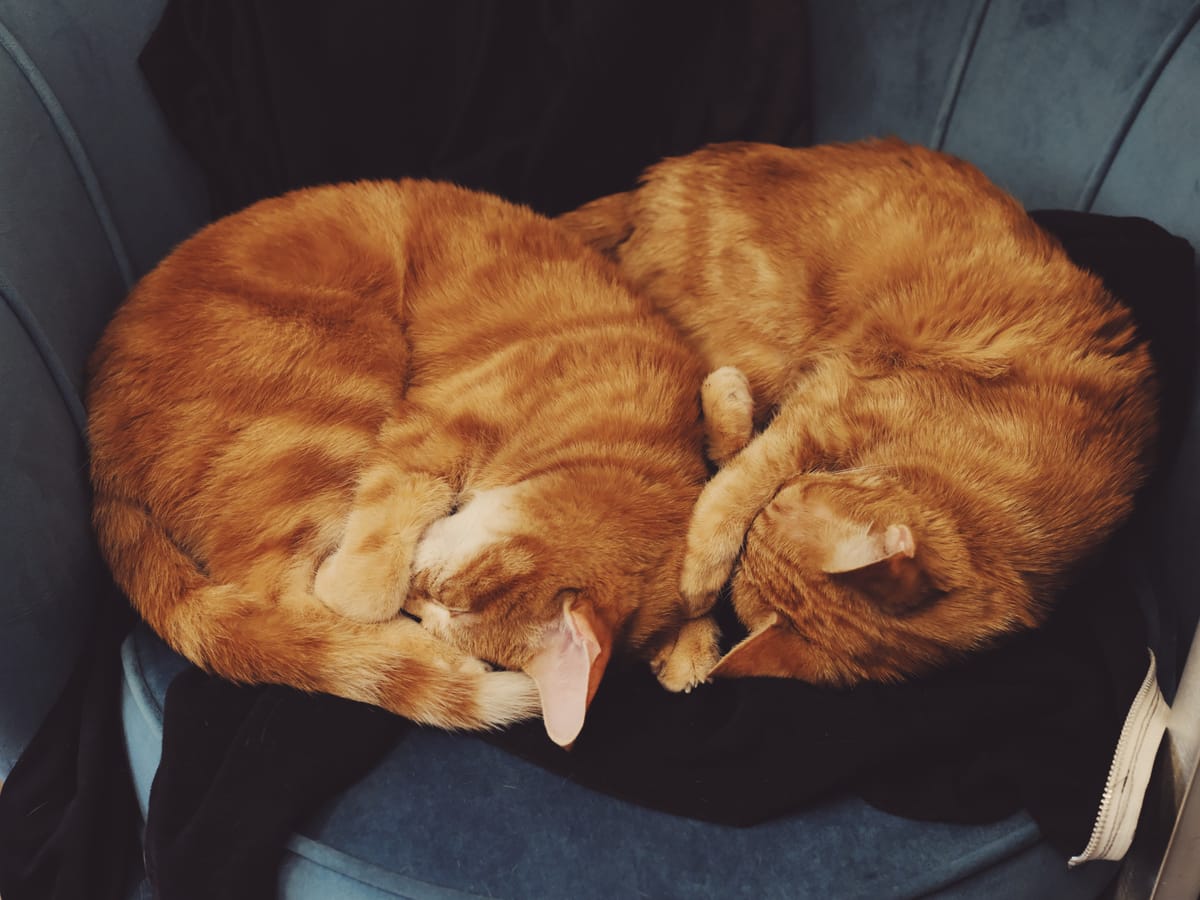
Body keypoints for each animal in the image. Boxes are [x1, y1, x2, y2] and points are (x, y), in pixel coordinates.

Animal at [87, 177, 720, 748]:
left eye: (443, 607)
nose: (416, 594)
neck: (618, 439)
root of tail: (102, 464)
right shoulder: (434, 430)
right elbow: (362, 585)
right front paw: (374, 587)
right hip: (344, 379)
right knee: (284, 603)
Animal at [556, 141, 1156, 686]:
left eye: (777, 513)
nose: (773, 508)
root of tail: (661, 175)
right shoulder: (831, 397)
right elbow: (733, 479)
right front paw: (696, 577)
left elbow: (734, 464)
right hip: (761, 347)